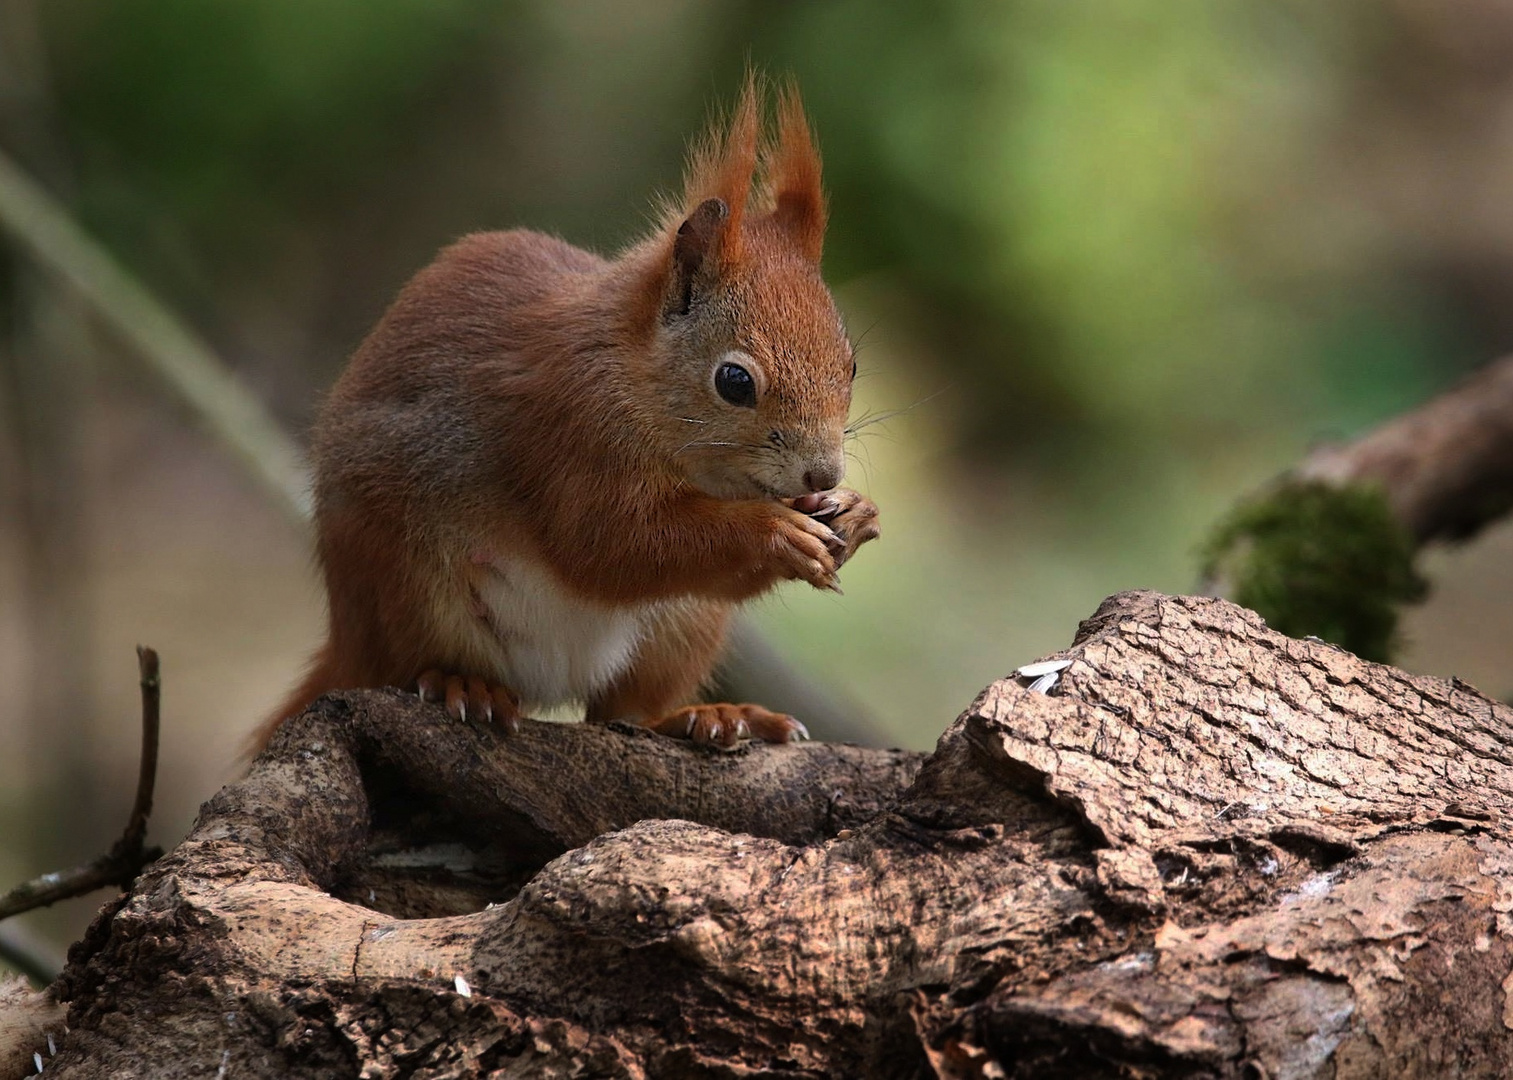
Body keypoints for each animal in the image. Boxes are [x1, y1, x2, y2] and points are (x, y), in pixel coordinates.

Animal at [255, 77, 883, 750]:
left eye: (851, 366)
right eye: (734, 381)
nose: (824, 474)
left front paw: (854, 512)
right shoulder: (569, 426)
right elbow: (604, 545)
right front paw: (774, 532)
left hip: (682, 625)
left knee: (624, 710)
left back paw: (708, 716)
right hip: (406, 578)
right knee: (412, 662)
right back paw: (463, 684)